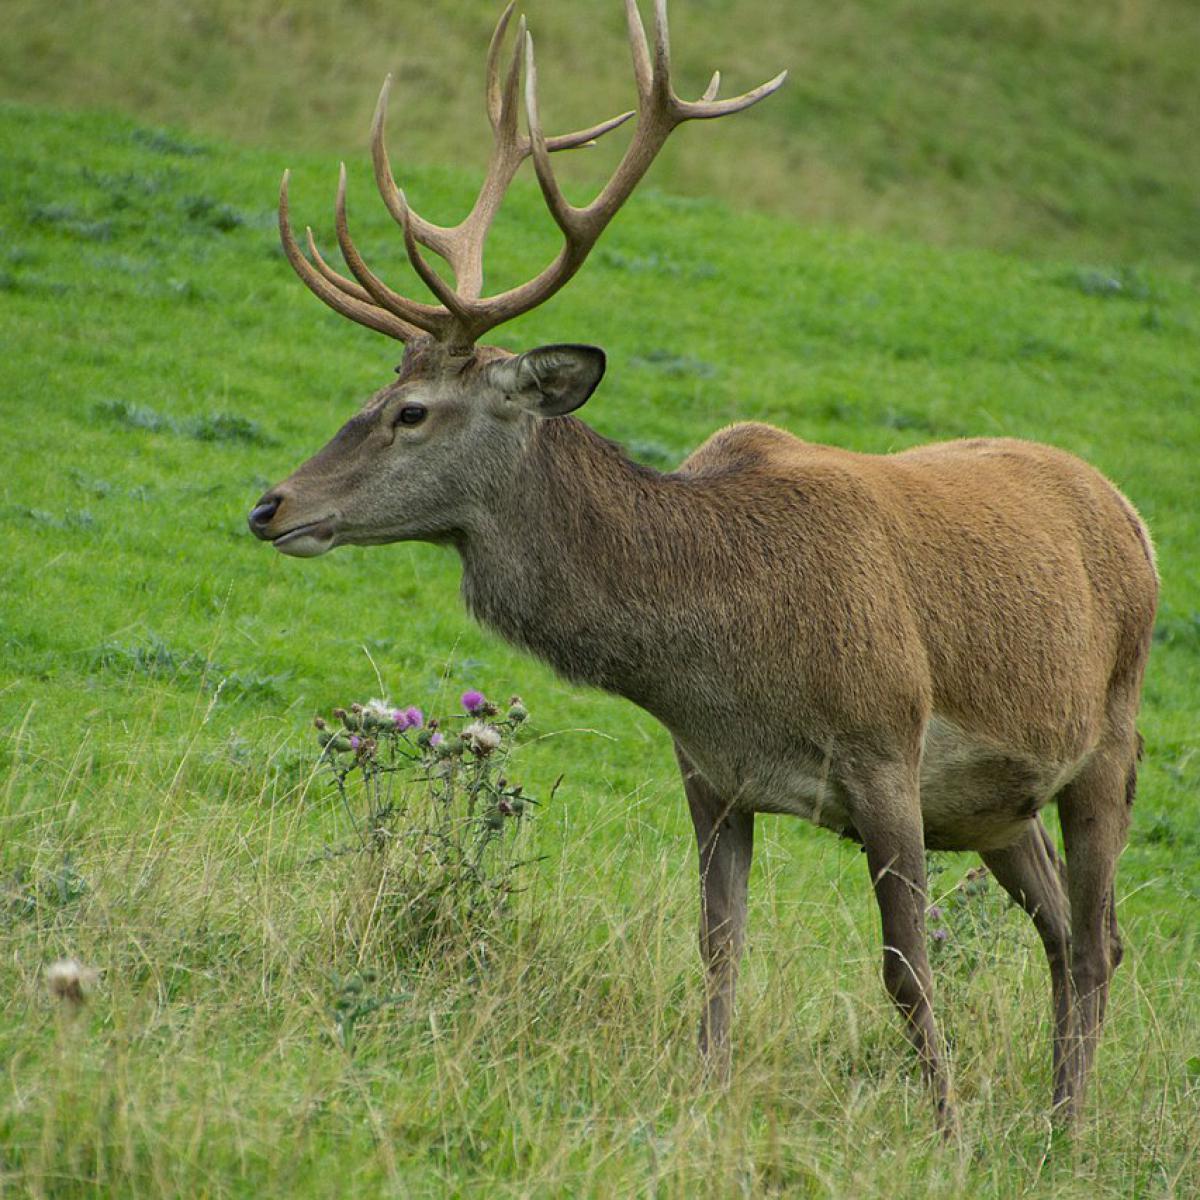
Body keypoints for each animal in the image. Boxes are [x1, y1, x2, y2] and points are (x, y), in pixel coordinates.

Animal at [248, 2, 1156, 1123]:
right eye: (374, 391)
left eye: (411, 411)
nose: (272, 505)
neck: (720, 657)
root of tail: (1130, 514)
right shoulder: (710, 774)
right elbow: (719, 947)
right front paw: (703, 1100)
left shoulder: (884, 744)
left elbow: (906, 969)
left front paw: (947, 1130)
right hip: (993, 802)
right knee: (1066, 931)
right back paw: (1055, 1108)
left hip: (1109, 735)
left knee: (1100, 940)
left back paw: (1065, 1128)